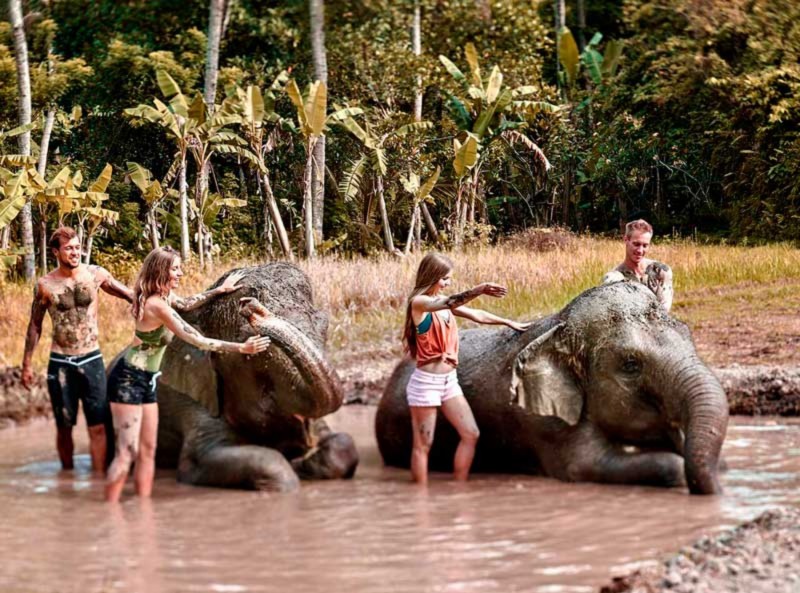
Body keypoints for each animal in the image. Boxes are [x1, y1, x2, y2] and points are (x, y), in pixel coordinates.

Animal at [376, 281, 729, 494]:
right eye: (630, 365)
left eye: (689, 335)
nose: (719, 494)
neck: (559, 327)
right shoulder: (543, 422)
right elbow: (583, 464)